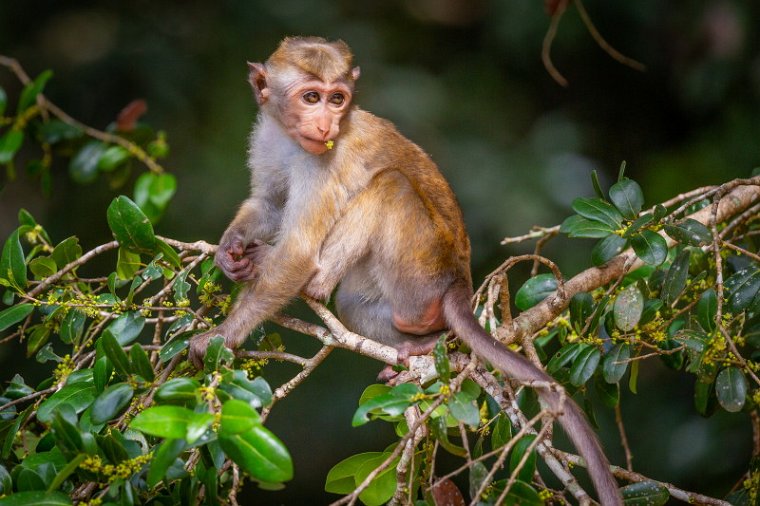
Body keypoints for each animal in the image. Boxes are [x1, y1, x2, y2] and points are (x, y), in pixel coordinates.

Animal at [190, 37, 624, 504]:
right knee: (353, 303)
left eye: (337, 99)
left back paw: (316, 284)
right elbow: (269, 202)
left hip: (421, 268)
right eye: (311, 97)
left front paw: (220, 336)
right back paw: (419, 343)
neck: (292, 139)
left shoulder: (320, 163)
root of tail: (459, 281)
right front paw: (230, 248)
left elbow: (300, 251)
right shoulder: (268, 139)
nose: (326, 124)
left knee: (390, 185)